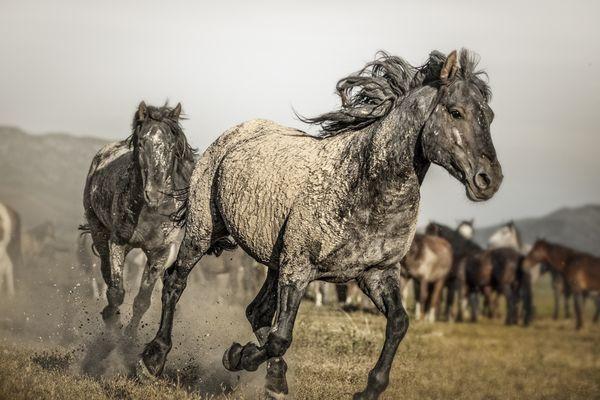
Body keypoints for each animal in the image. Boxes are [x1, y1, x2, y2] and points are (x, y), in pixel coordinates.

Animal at [81, 101, 195, 340]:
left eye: (171, 146)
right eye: (142, 143)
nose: (155, 193)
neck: (150, 213)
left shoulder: (160, 253)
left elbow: (142, 300)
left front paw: (130, 338)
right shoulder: (118, 243)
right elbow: (116, 292)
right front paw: (112, 327)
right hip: (98, 231)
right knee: (106, 273)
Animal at [139, 48, 502, 398]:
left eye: (489, 116)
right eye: (455, 112)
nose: (489, 180)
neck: (363, 186)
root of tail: (232, 136)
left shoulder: (376, 274)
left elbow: (399, 322)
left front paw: (370, 388)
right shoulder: (299, 268)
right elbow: (280, 337)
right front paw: (236, 356)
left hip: (274, 261)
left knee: (257, 311)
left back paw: (276, 381)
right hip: (203, 232)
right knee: (175, 283)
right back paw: (154, 357)